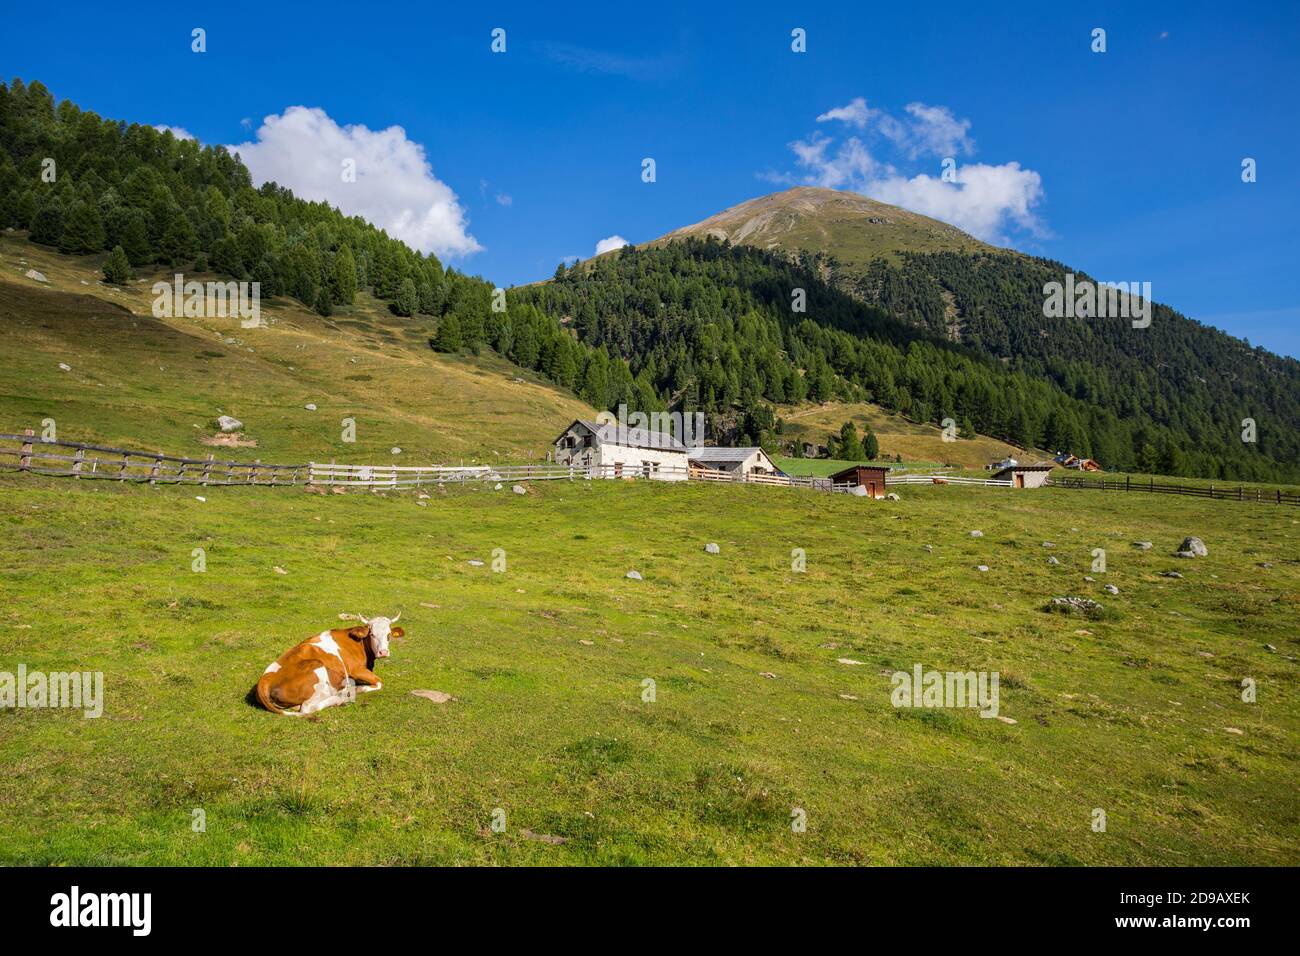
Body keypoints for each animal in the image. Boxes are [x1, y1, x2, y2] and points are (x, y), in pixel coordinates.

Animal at [250, 616, 397, 712]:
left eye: (389, 635)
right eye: (372, 634)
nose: (383, 652)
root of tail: (264, 680)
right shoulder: (356, 669)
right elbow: (379, 682)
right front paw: (358, 689)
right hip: (316, 665)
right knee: (307, 707)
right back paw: (340, 698)